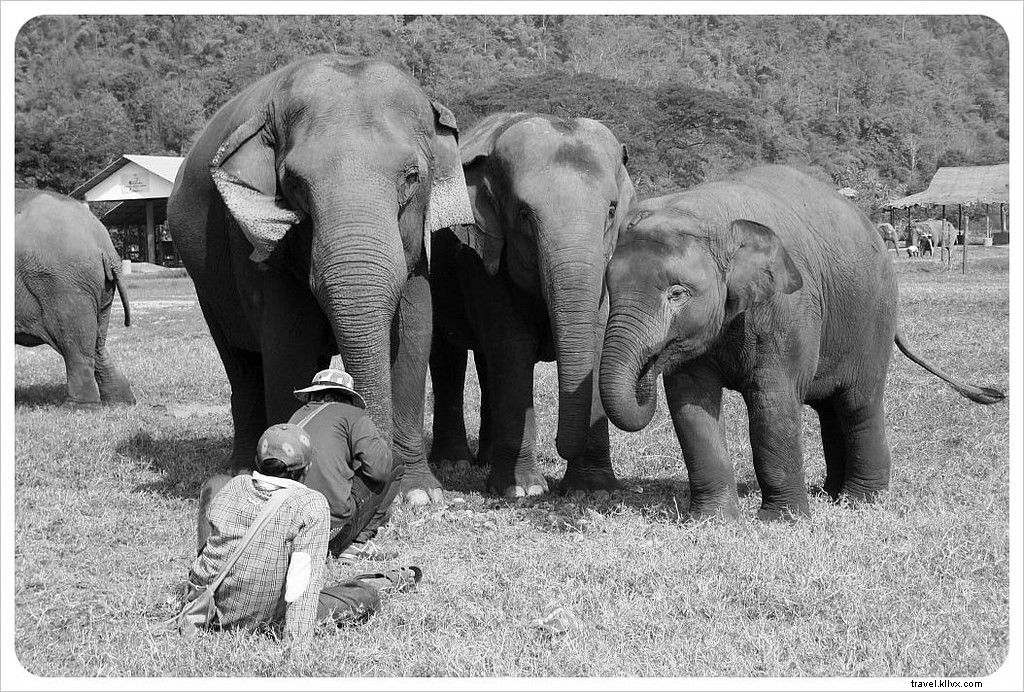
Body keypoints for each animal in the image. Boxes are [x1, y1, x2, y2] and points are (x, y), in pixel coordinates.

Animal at [15, 188, 135, 407]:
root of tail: (104, 244)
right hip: (99, 288)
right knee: (96, 344)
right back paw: (121, 401)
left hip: (64, 287)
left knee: (75, 345)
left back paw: (77, 406)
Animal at [167, 55, 475, 504]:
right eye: (294, 183)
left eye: (412, 176)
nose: (373, 480)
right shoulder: (257, 246)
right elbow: (288, 340)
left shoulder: (418, 250)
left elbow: (415, 337)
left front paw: (419, 495)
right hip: (206, 284)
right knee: (241, 364)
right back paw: (239, 467)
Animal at [429, 112, 635, 497]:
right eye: (524, 215)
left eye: (612, 210)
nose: (557, 444)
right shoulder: (482, 257)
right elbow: (513, 348)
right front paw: (523, 491)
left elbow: (595, 343)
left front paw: (593, 490)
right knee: (447, 354)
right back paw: (454, 463)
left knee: (486, 362)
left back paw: (487, 460)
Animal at [599, 165, 1005, 521]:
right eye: (609, 287)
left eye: (677, 293)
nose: (650, 363)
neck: (708, 211)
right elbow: (690, 405)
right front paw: (711, 522)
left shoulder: (788, 306)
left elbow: (773, 400)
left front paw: (781, 521)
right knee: (830, 408)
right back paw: (832, 493)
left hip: (874, 318)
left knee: (858, 404)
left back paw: (862, 501)